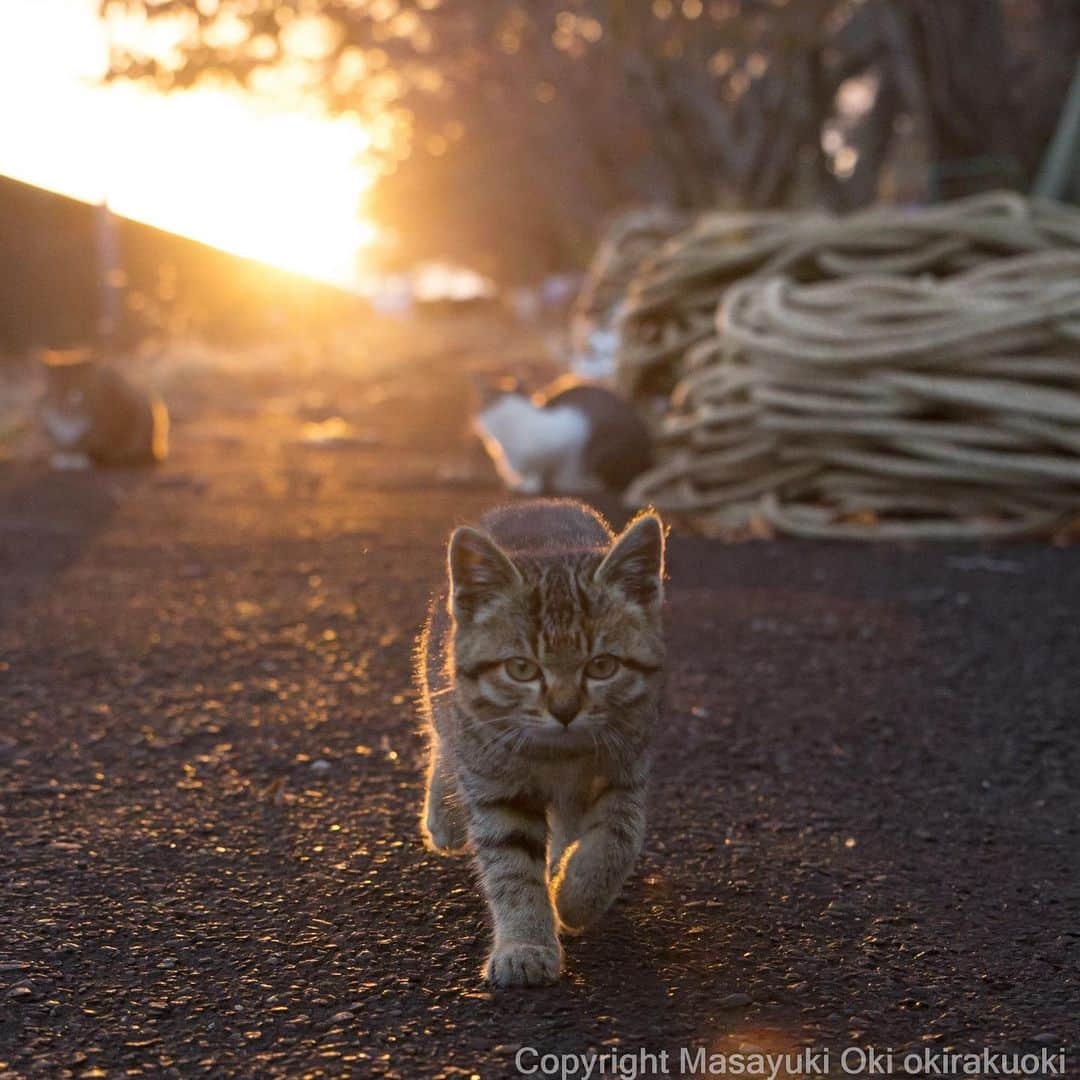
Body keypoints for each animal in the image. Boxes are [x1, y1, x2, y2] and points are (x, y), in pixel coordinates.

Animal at [414, 498, 660, 989]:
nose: (564, 709)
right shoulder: (496, 785)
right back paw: (443, 819)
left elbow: (618, 837)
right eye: (521, 669)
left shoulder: (625, 764)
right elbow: (511, 867)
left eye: (602, 666)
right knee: (443, 740)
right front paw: (525, 945)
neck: (557, 756)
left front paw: (574, 894)